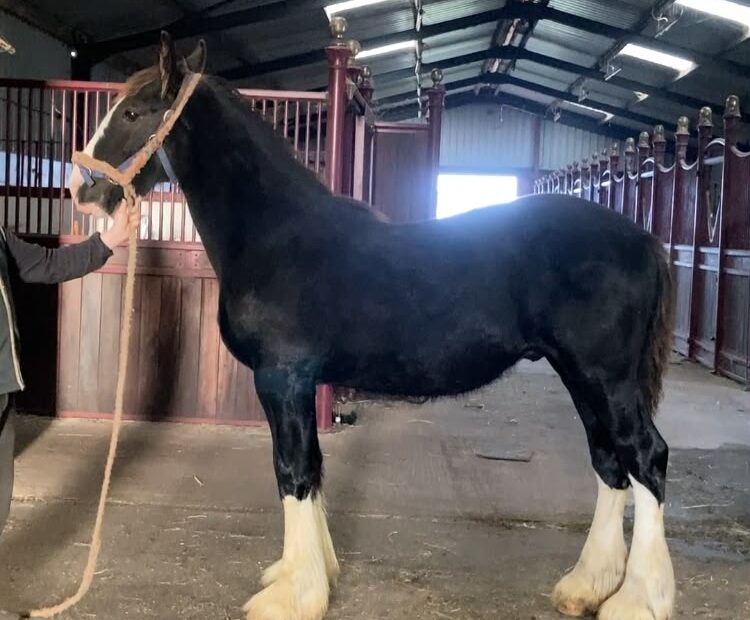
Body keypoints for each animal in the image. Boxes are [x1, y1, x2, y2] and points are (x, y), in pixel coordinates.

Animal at [68, 32, 676, 620]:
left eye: (132, 113)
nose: (83, 190)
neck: (275, 235)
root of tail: (644, 239)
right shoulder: (298, 384)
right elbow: (312, 468)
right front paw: (311, 575)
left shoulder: (282, 379)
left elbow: (292, 471)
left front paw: (293, 596)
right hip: (582, 376)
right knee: (608, 460)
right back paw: (586, 586)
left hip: (605, 377)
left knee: (645, 457)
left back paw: (637, 600)